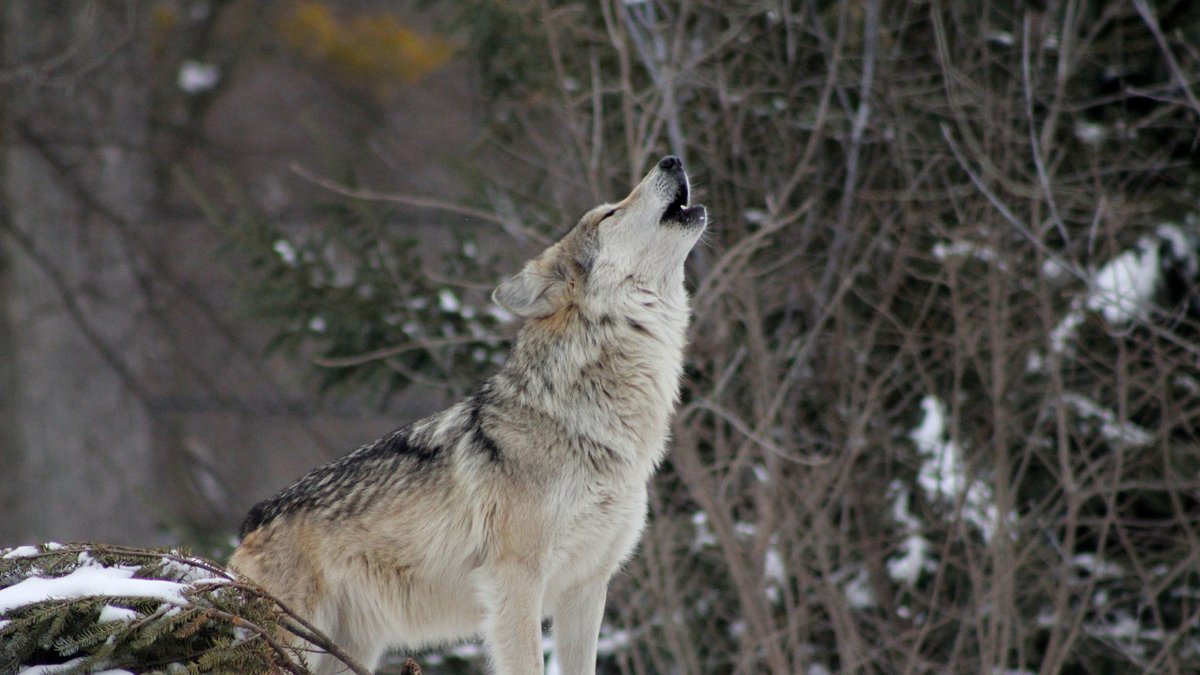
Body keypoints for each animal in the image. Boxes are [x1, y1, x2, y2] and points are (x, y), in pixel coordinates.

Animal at [229, 156, 707, 674]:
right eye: (609, 214)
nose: (672, 160)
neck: (587, 420)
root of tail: (250, 522)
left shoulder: (586, 589)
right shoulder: (516, 582)